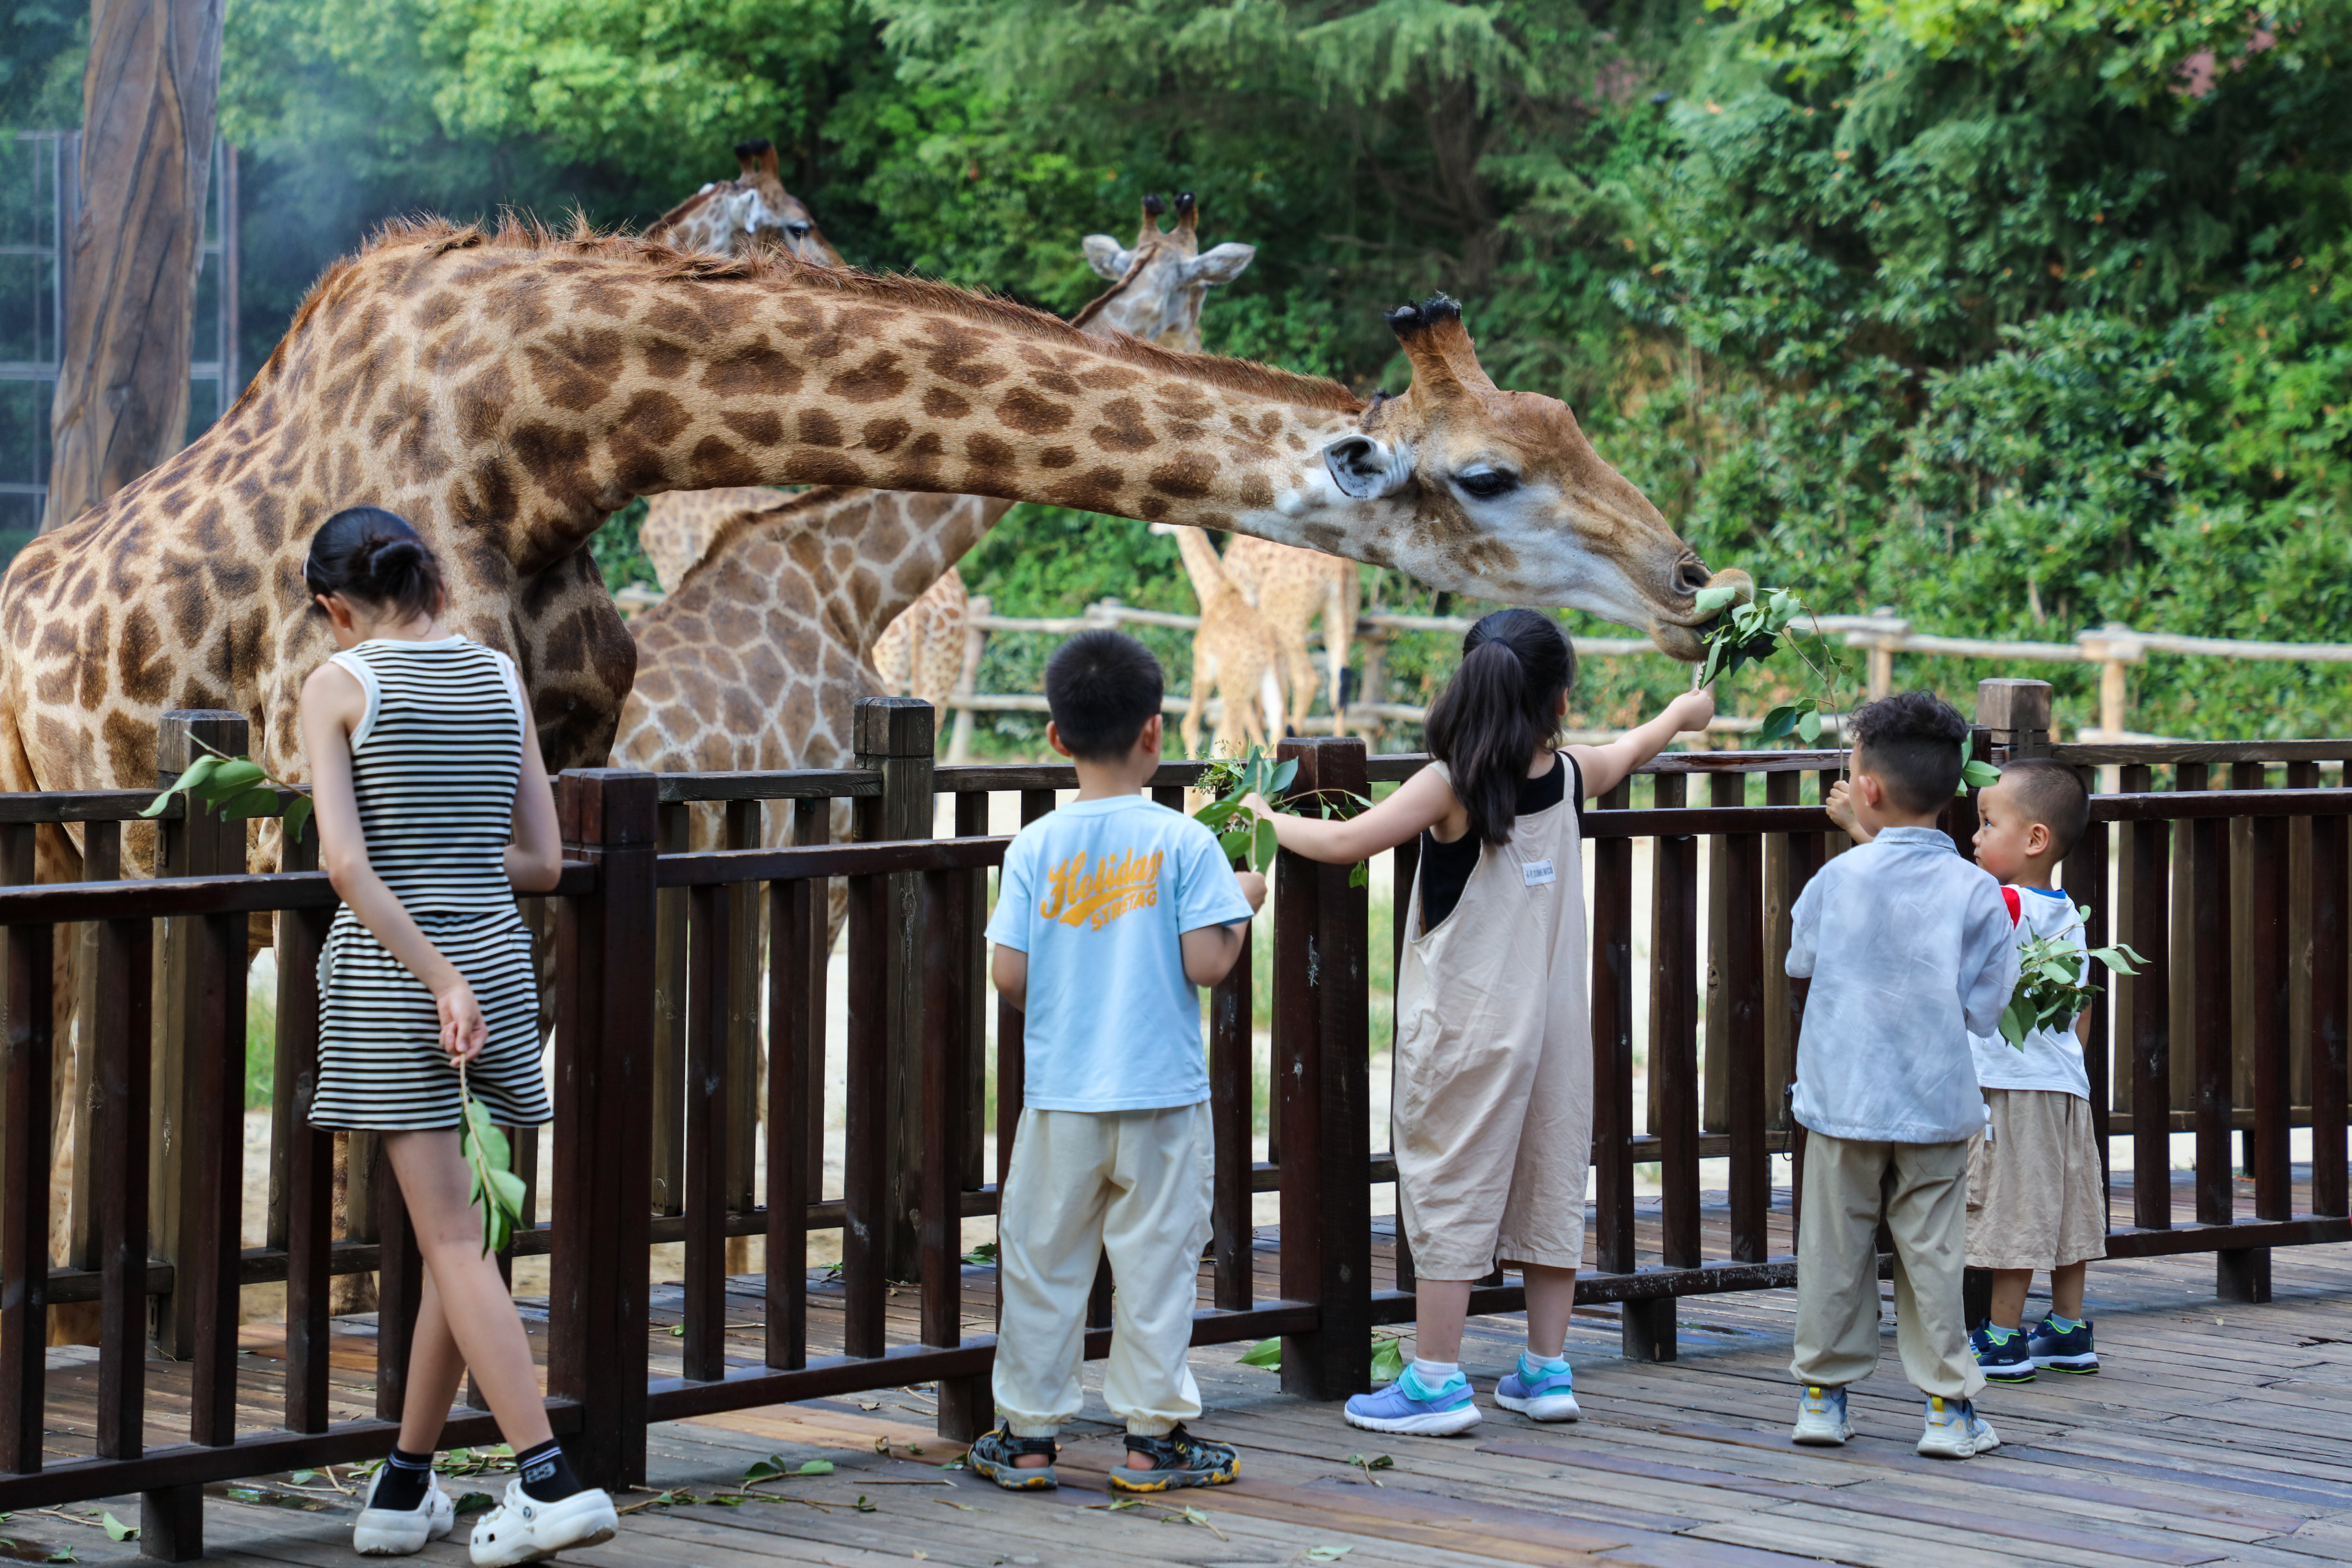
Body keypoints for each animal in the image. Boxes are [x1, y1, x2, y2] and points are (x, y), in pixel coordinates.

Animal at [1143, 522, 1279, 762]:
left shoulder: (1204, 666)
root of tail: (1268, 654)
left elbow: (1190, 727)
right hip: (1270, 686)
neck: (1213, 593)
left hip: (1235, 687)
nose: (1152, 528)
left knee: (1236, 736)